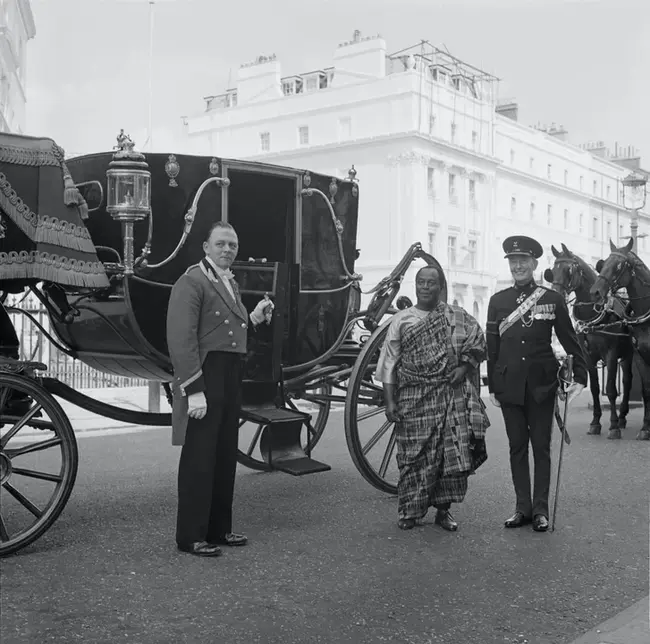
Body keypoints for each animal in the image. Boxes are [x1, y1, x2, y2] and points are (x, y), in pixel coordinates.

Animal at [540, 245, 632, 438]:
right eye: (552, 270)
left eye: (569, 270)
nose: (556, 294)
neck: (594, 316)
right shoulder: (588, 357)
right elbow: (595, 389)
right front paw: (595, 422)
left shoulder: (611, 355)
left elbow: (611, 389)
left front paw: (613, 426)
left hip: (631, 356)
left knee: (628, 382)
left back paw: (622, 418)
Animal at [588, 239, 648, 440]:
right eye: (604, 263)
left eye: (619, 265)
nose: (595, 292)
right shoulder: (639, 355)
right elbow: (646, 390)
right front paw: (645, 428)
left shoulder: (612, 354)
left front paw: (613, 426)